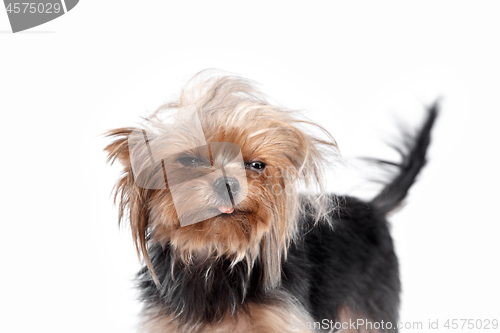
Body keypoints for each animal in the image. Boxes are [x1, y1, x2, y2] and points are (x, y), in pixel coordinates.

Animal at [105, 71, 438, 330]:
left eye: (256, 165)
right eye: (190, 160)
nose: (228, 183)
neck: (214, 256)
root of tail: (372, 208)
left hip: (368, 309)